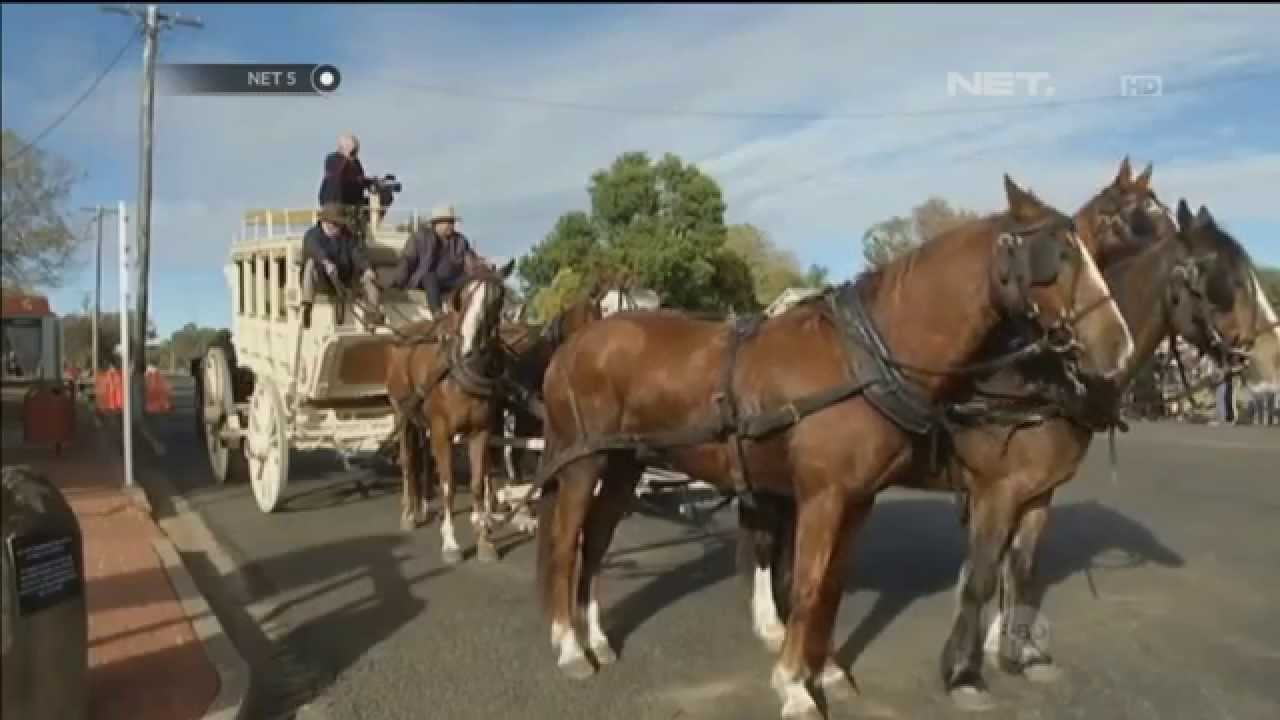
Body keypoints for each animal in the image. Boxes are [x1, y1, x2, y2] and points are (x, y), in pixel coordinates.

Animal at [384, 257, 514, 561]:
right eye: (462, 296)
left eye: (497, 297)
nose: (468, 347)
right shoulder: (442, 431)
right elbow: (449, 484)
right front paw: (451, 542)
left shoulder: (480, 431)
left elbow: (477, 483)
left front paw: (484, 541)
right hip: (401, 413)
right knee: (408, 462)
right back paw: (409, 513)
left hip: (420, 422)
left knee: (421, 460)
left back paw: (421, 505)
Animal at [535, 175, 1136, 717]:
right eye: (1058, 255)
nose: (1119, 348)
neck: (864, 360)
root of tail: (575, 343)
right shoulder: (824, 497)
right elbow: (807, 586)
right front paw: (794, 687)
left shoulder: (858, 499)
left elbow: (831, 588)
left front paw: (825, 672)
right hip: (582, 463)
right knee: (567, 543)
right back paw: (568, 646)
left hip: (622, 465)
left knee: (597, 542)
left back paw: (596, 638)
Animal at [747, 159, 1280, 702]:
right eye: (1223, 280)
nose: (1271, 356)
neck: (1043, 373)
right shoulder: (996, 490)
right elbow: (981, 576)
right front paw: (964, 671)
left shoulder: (1037, 492)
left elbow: (1019, 568)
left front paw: (1016, 650)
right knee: (766, 540)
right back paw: (775, 629)